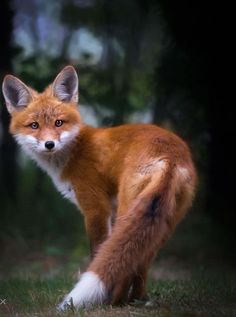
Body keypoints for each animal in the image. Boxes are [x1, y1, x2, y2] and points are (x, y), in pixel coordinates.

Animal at [1, 65, 197, 308]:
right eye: (34, 126)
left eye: (58, 123)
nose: (49, 144)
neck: (73, 153)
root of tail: (170, 155)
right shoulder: (109, 211)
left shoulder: (96, 208)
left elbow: (97, 254)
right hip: (163, 221)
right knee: (141, 260)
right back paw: (137, 299)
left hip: (127, 211)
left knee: (127, 261)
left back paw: (113, 301)